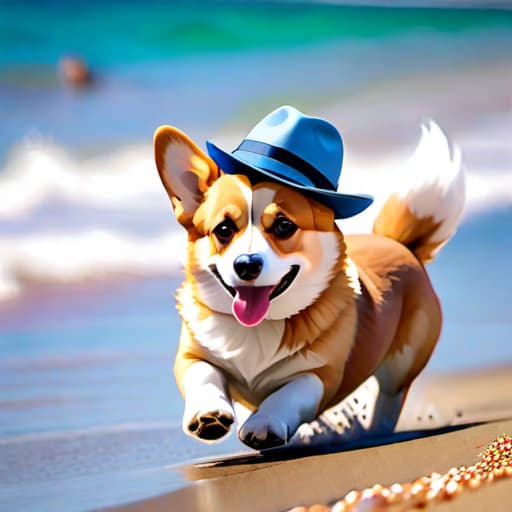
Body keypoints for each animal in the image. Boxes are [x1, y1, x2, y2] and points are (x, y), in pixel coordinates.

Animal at [152, 107, 464, 448]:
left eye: (284, 226)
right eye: (223, 230)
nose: (246, 265)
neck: (258, 328)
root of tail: (399, 243)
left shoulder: (320, 374)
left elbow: (288, 394)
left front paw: (265, 423)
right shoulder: (192, 355)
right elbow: (203, 378)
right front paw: (208, 415)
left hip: (403, 361)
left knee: (391, 396)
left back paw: (375, 430)